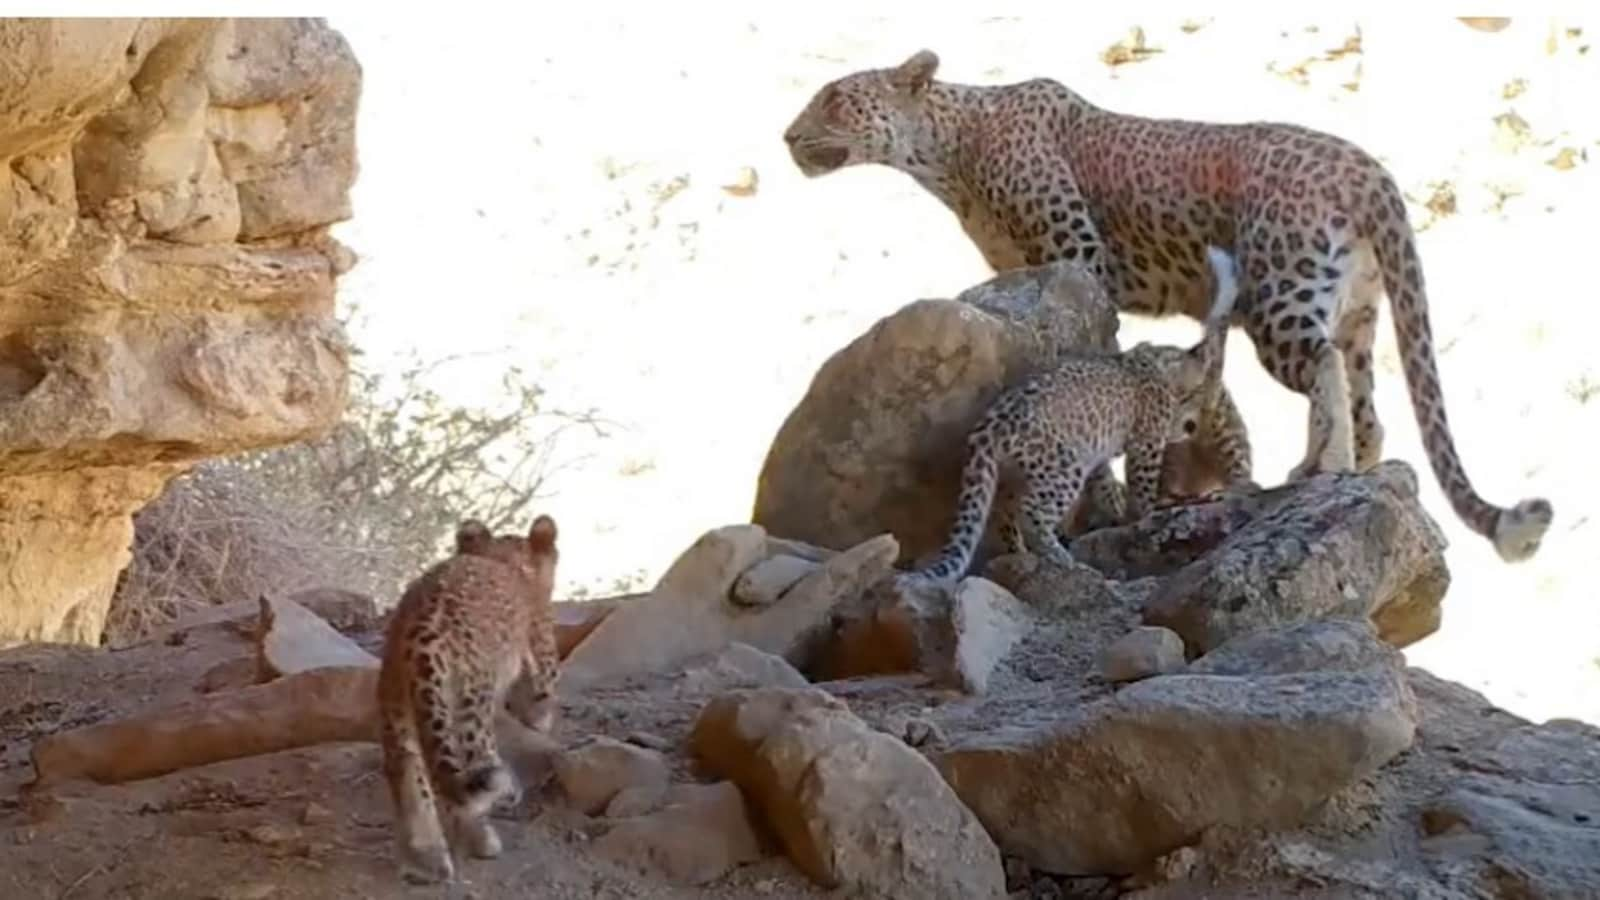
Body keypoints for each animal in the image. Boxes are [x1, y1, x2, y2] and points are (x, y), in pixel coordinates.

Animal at [780, 49, 1555, 560]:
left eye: (836, 100)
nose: (788, 137)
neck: (949, 150)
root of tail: (1368, 167)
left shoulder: (1080, 258)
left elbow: (1101, 363)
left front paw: (1113, 495)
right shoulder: (1033, 267)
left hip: (1281, 293)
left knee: (1324, 365)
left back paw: (1319, 470)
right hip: (1358, 305)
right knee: (1368, 400)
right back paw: (1357, 474)